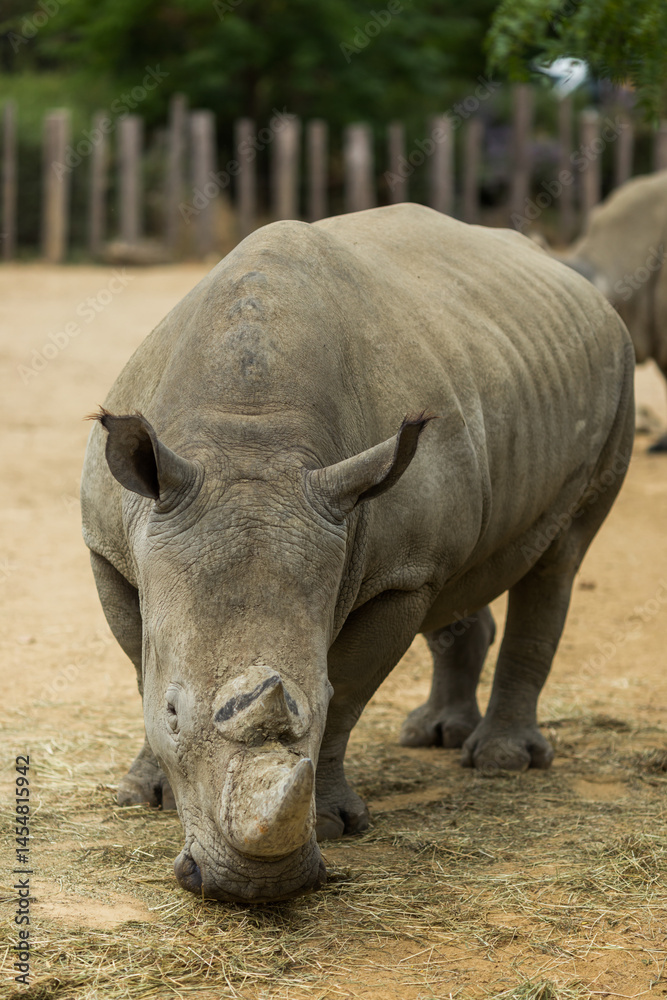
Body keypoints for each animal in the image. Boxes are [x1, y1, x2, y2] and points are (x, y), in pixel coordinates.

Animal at [81, 203, 634, 903]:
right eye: (175, 714)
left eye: (312, 703)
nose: (252, 889)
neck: (246, 438)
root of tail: (576, 278)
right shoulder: (111, 547)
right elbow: (139, 665)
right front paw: (142, 795)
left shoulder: (398, 576)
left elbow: (347, 693)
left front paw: (333, 825)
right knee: (464, 577)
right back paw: (432, 736)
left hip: (616, 373)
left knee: (561, 556)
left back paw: (500, 762)